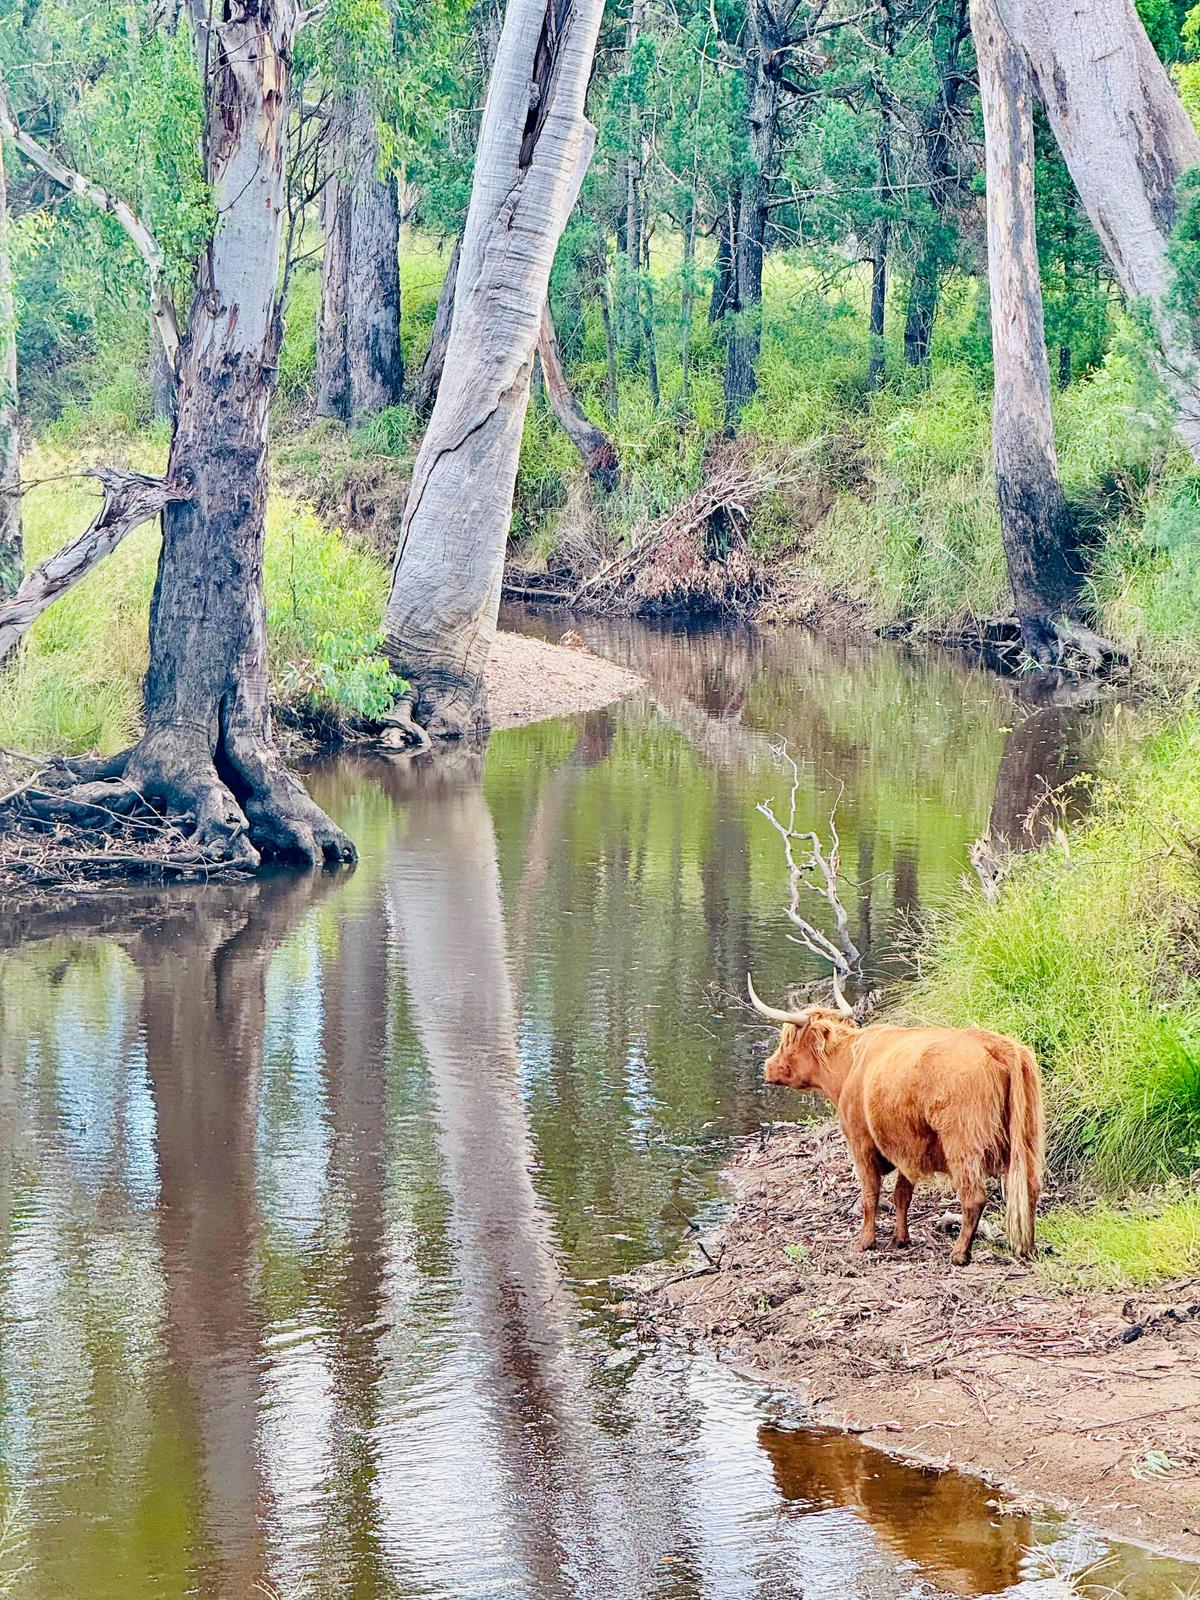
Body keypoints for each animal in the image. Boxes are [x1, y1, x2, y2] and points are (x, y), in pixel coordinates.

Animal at [747, 975, 1045, 1265]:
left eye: (787, 1040)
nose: (767, 1067)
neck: (848, 1065)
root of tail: (999, 1045)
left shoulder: (862, 1142)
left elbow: (870, 1195)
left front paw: (865, 1242)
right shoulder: (905, 1146)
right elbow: (902, 1194)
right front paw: (899, 1239)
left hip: (962, 1142)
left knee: (973, 1198)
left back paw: (960, 1254)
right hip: (1027, 1137)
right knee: (1029, 1188)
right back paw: (1027, 1248)